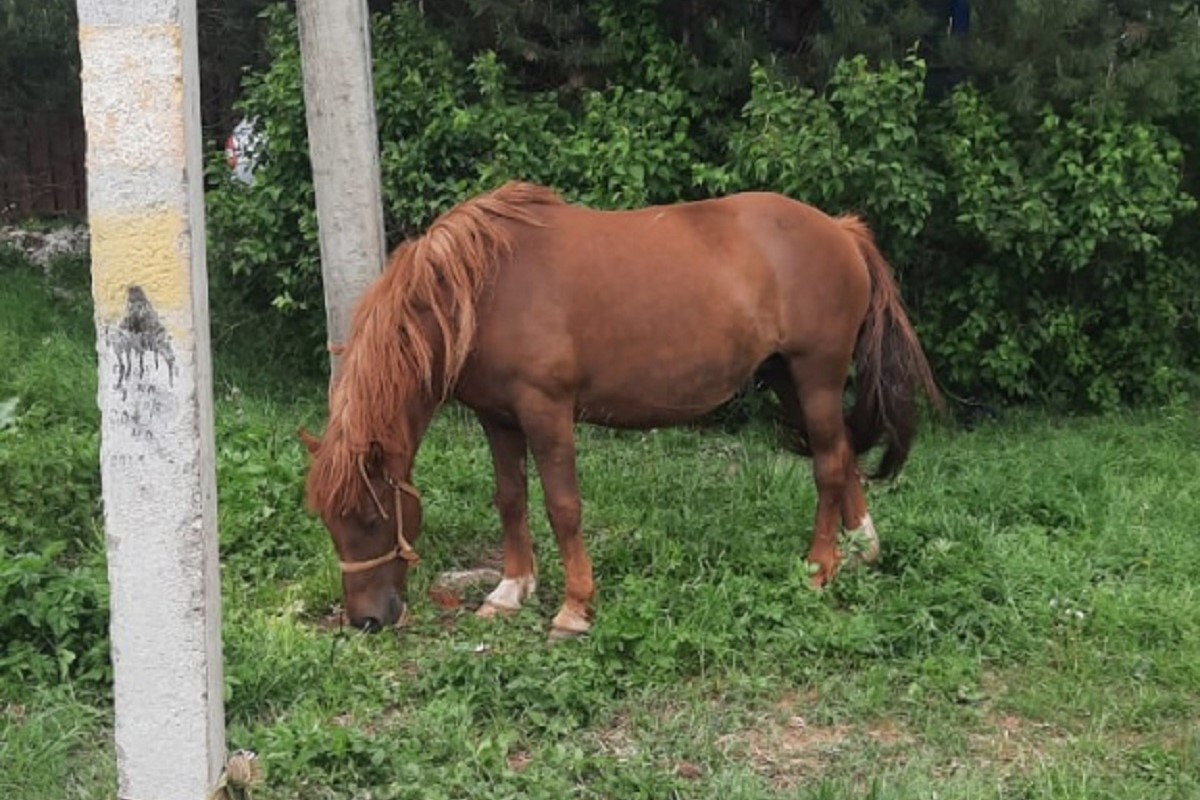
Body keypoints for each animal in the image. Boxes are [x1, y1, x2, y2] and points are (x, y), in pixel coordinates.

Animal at [297, 181, 936, 638]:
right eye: (328, 521)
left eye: (371, 517)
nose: (367, 620)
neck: (482, 291)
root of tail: (841, 230)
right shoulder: (498, 418)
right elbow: (510, 499)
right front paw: (510, 591)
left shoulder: (547, 412)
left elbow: (563, 507)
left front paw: (574, 610)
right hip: (789, 379)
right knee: (843, 454)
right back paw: (864, 549)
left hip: (816, 375)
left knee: (828, 465)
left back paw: (820, 568)